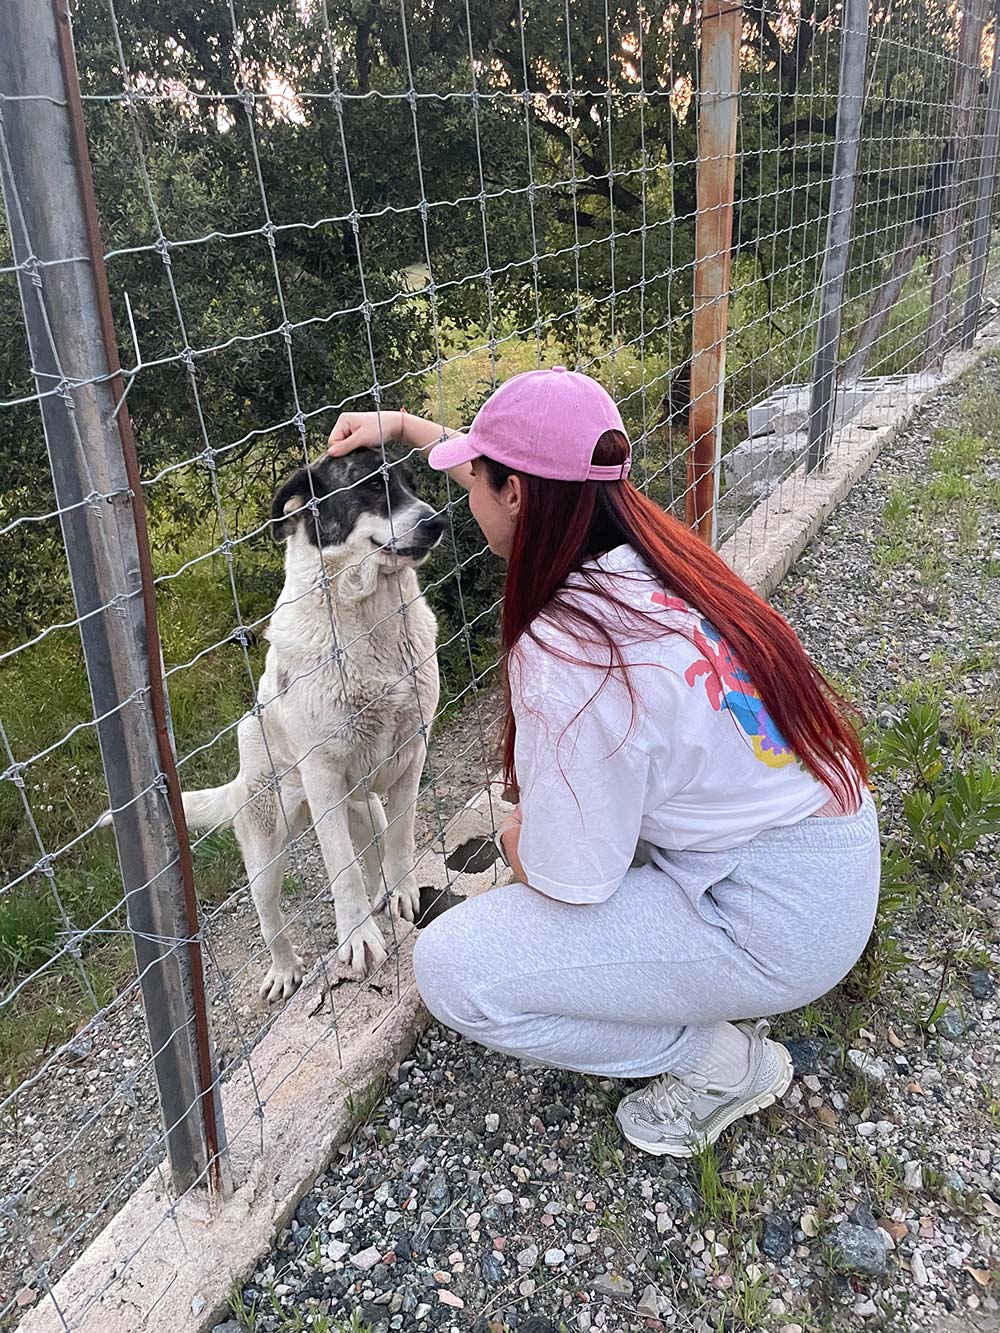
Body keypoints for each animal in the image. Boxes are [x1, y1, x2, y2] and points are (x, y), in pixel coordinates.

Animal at [180, 449, 443, 1001]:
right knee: (270, 918)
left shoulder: (412, 753)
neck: (367, 618)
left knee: (375, 849)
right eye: (370, 485)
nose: (437, 523)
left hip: (365, 809)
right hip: (266, 849)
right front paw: (358, 936)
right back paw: (284, 970)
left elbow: (403, 837)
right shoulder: (323, 779)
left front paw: (404, 891)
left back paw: (382, 894)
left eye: (410, 484)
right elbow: (341, 869)